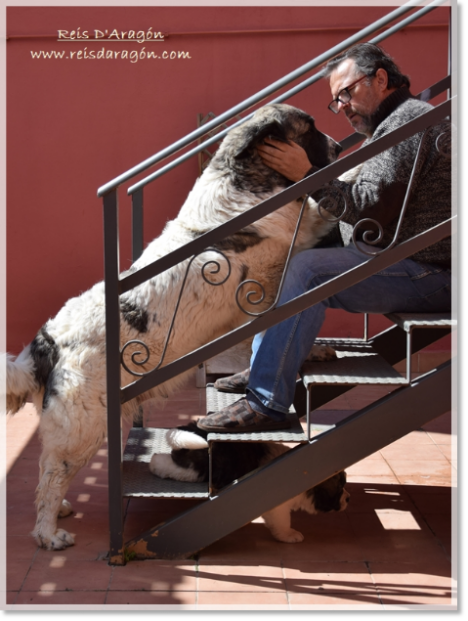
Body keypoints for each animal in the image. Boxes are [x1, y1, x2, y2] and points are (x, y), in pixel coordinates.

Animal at [152, 422, 350, 544]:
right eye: (340, 488)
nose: (349, 499)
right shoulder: (278, 505)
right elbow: (283, 521)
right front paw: (289, 535)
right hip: (199, 466)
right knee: (175, 466)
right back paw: (154, 463)